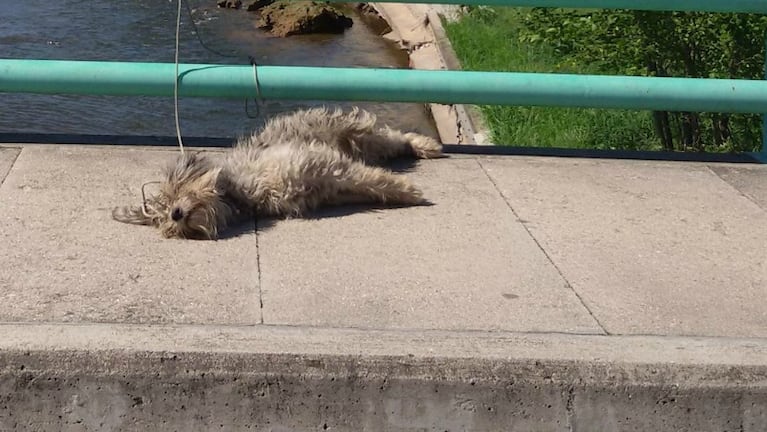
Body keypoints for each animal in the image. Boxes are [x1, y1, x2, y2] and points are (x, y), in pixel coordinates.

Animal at [115, 105, 444, 240]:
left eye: (176, 193)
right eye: (162, 219)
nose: (175, 215)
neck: (240, 191)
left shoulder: (325, 164)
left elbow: (375, 179)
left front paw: (408, 191)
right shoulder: (331, 184)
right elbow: (368, 184)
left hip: (354, 131)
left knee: (392, 136)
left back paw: (424, 144)